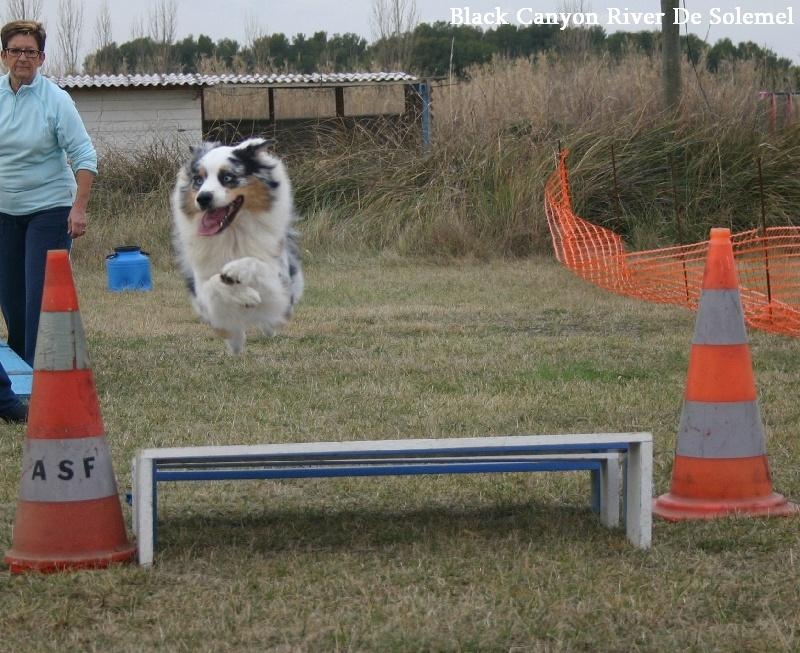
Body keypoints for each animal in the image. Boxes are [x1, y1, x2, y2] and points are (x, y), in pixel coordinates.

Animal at [172, 136, 304, 352]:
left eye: (227, 177)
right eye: (198, 180)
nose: (203, 198)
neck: (231, 234)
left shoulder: (280, 287)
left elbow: (255, 263)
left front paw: (235, 270)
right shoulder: (201, 290)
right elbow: (213, 284)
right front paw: (246, 296)